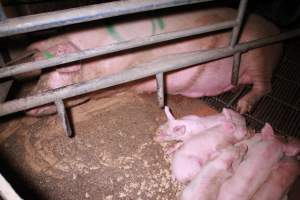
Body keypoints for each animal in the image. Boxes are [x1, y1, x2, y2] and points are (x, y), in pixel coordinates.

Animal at [24, 7, 282, 115]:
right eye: (40, 73)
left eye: (53, 73)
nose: (27, 107)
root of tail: (276, 31)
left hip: (258, 54)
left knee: (265, 86)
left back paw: (242, 107)